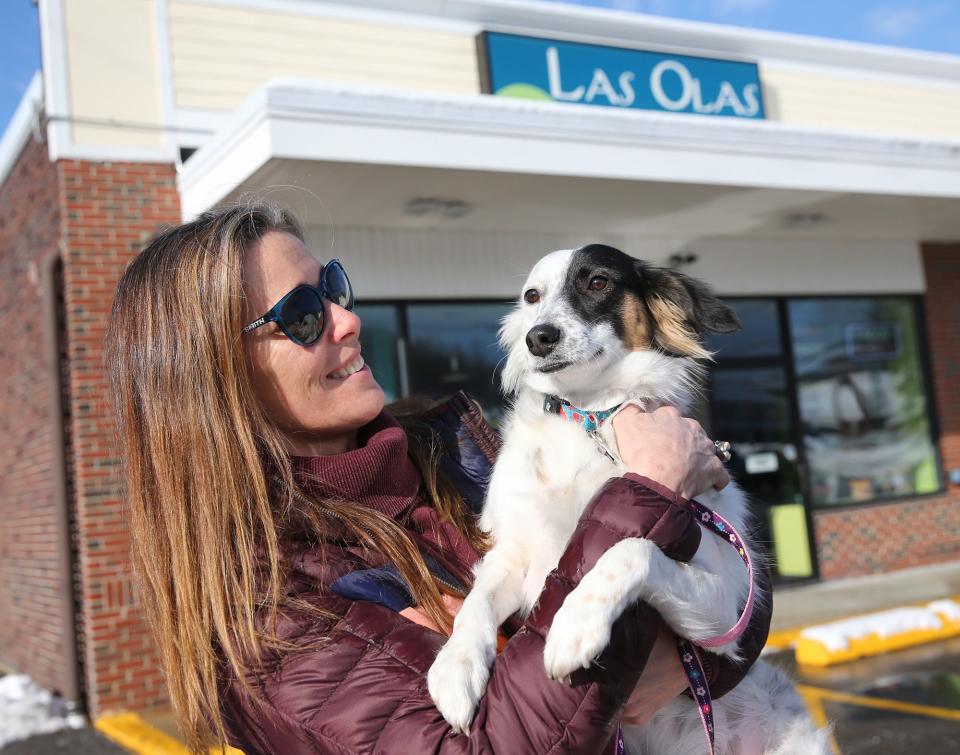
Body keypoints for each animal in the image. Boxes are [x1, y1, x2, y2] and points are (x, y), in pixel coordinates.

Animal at [424, 245, 828, 752]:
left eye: (597, 282)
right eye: (532, 296)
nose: (539, 337)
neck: (590, 420)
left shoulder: (724, 611)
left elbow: (632, 548)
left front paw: (575, 624)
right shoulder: (512, 556)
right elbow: (475, 602)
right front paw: (454, 668)